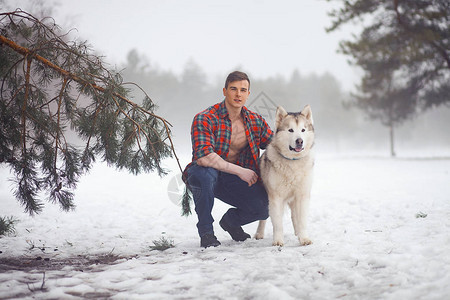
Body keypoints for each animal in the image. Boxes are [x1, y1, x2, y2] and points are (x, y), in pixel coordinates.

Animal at [255, 105, 314, 246]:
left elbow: (302, 220)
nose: (299, 141)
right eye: (290, 130)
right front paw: (278, 240)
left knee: (294, 215)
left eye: (303, 130)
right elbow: (277, 223)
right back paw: (259, 233)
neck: (293, 162)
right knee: (263, 219)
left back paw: (297, 233)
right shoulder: (276, 197)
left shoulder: (302, 195)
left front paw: (304, 238)